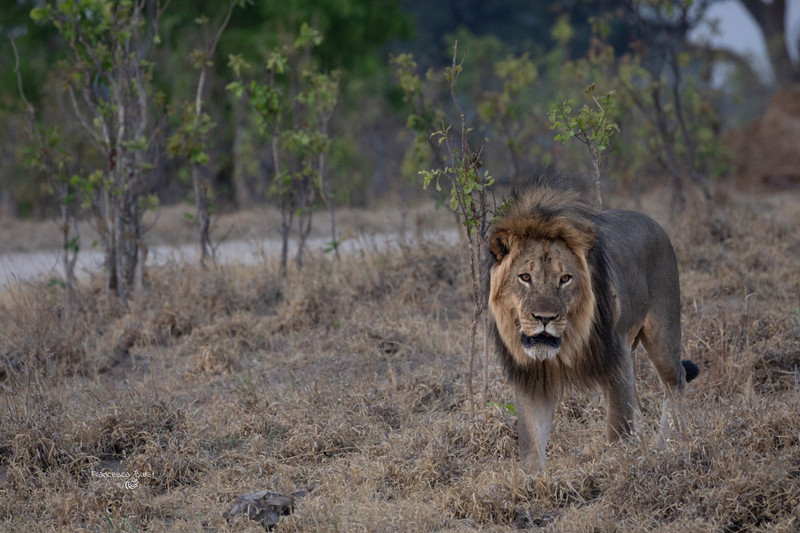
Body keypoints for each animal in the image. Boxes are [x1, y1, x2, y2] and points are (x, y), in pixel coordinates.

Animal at [486, 170, 698, 474]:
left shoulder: (616, 355)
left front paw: (619, 464)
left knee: (675, 379)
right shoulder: (531, 375)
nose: (544, 318)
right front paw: (531, 479)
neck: (569, 341)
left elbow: (618, 425)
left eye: (565, 279)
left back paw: (668, 442)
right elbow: (531, 440)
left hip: (662, 334)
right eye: (525, 277)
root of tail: (655, 223)